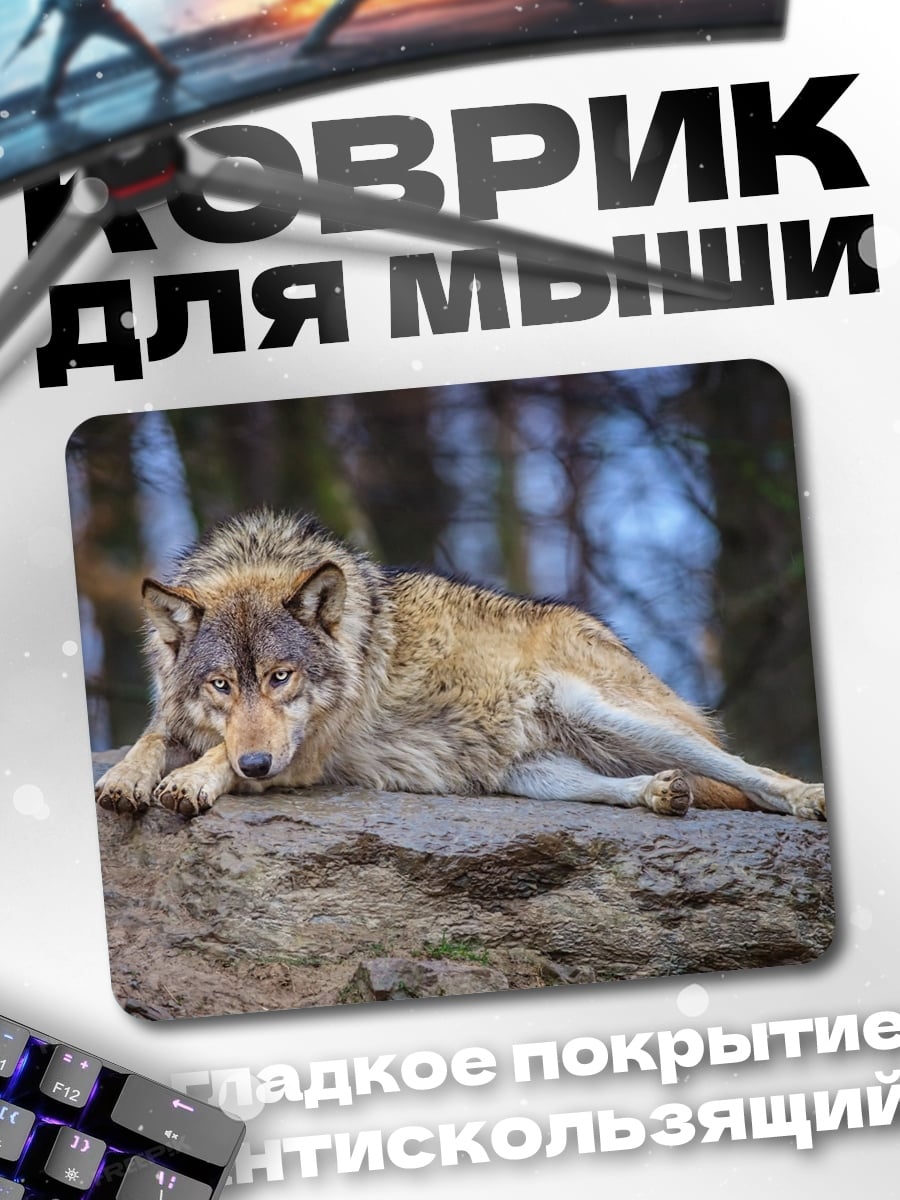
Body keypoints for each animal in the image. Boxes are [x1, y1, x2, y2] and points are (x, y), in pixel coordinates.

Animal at [95, 509, 826, 821]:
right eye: (221, 684)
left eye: (282, 677)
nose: (255, 765)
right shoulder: (183, 716)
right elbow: (151, 737)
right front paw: (128, 777)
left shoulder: (303, 757)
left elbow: (215, 755)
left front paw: (191, 780)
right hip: (528, 777)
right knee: (633, 784)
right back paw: (656, 794)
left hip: (611, 715)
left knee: (749, 773)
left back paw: (807, 799)